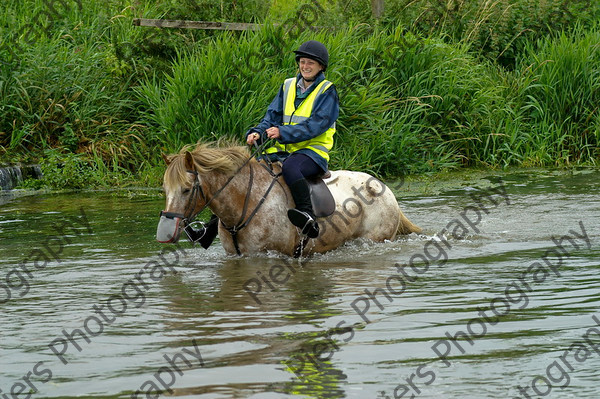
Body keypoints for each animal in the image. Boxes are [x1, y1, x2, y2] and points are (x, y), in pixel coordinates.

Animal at [158, 142, 422, 258]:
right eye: (164, 189)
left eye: (186, 189)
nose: (167, 234)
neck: (246, 201)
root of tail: (384, 189)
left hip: (374, 238)